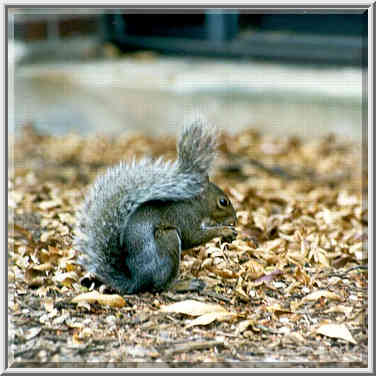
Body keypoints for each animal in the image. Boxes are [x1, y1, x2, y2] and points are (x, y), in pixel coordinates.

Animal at [74, 119, 236, 296]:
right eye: (223, 202)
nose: (235, 219)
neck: (195, 204)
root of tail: (136, 281)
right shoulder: (185, 217)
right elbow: (193, 237)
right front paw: (224, 230)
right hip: (168, 240)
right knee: (160, 286)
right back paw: (184, 284)